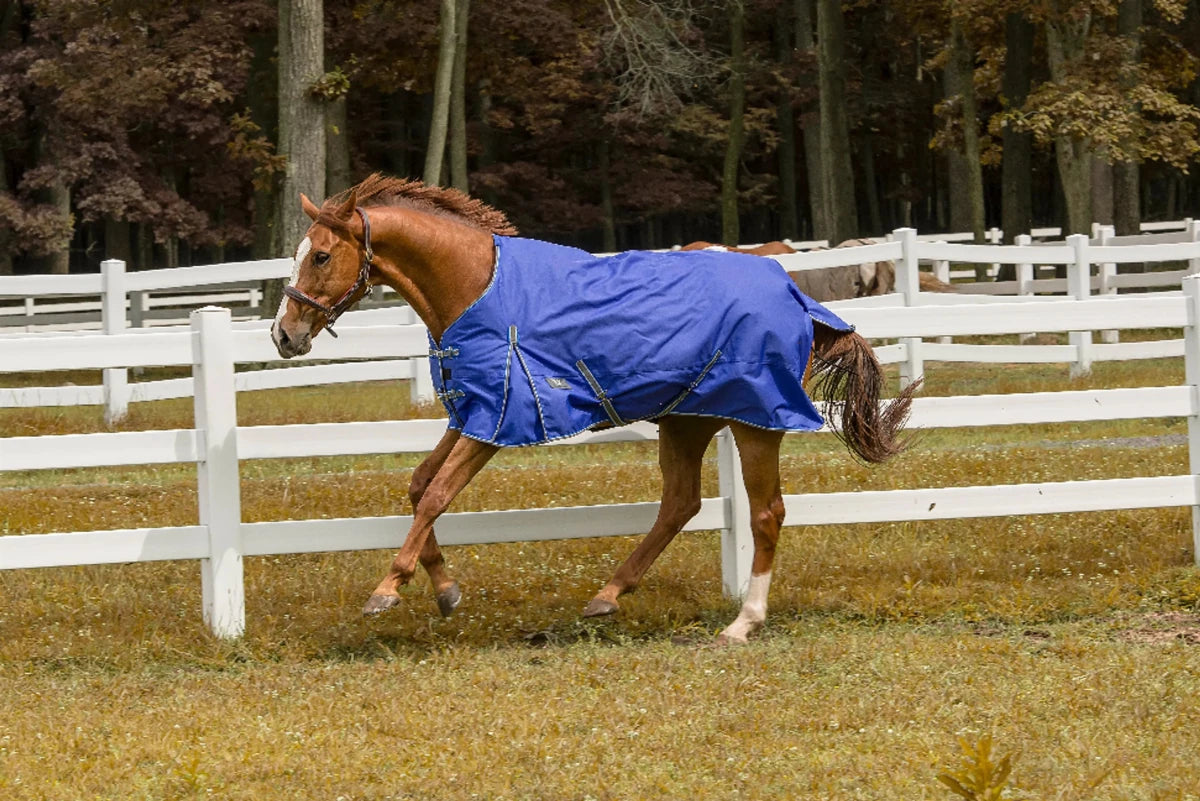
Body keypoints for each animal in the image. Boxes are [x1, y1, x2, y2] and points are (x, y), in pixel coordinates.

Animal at [271, 174, 918, 644]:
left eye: (321, 256)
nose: (284, 334)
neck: (477, 286)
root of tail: (797, 293)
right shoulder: (469, 413)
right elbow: (417, 484)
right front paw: (444, 588)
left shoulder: (494, 422)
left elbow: (435, 495)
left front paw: (387, 589)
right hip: (687, 422)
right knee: (680, 504)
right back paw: (607, 595)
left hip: (754, 422)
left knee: (765, 514)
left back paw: (743, 622)